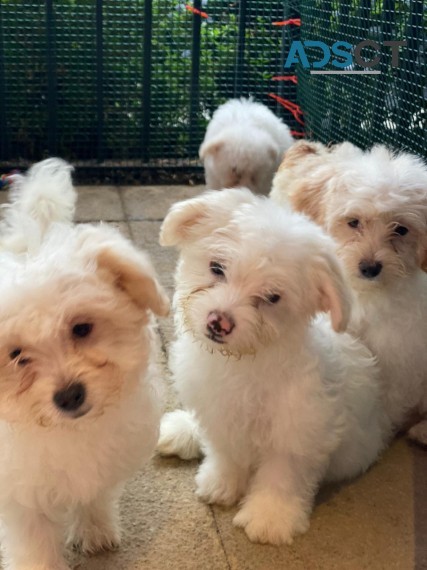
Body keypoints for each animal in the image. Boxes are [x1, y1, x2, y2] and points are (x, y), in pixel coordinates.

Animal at [0, 159, 171, 568]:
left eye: (81, 328)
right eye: (15, 355)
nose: (69, 396)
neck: (67, 431)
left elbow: (94, 493)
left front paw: (95, 530)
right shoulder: (18, 491)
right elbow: (33, 541)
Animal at [157, 189, 392, 544]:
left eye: (272, 298)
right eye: (216, 267)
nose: (219, 322)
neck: (244, 361)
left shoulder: (299, 428)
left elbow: (283, 474)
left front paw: (270, 518)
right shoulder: (219, 414)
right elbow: (225, 453)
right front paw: (220, 484)